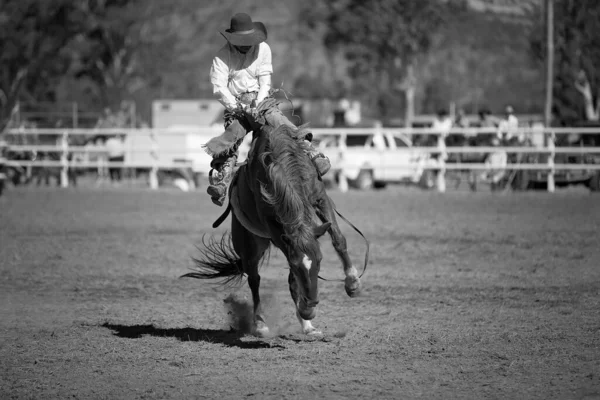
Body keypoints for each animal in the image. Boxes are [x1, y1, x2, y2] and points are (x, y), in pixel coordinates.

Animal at [182, 119, 366, 338]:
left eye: (320, 260)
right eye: (296, 265)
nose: (311, 302)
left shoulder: (321, 198)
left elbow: (338, 238)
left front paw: (353, 284)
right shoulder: (272, 224)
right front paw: (306, 309)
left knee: (287, 281)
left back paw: (307, 325)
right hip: (249, 244)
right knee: (255, 279)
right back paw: (261, 324)